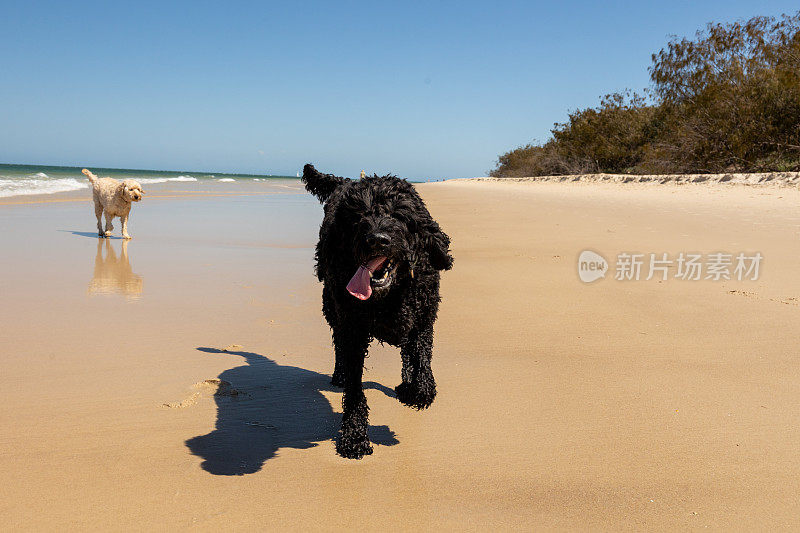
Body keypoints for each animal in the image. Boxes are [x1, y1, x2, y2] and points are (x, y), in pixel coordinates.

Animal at [302, 163, 454, 458]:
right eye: (359, 215)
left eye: (399, 214)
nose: (377, 239)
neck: (389, 295)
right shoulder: (353, 331)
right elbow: (355, 388)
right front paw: (354, 436)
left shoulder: (422, 319)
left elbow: (421, 359)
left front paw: (418, 389)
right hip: (332, 310)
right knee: (338, 346)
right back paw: (339, 375)